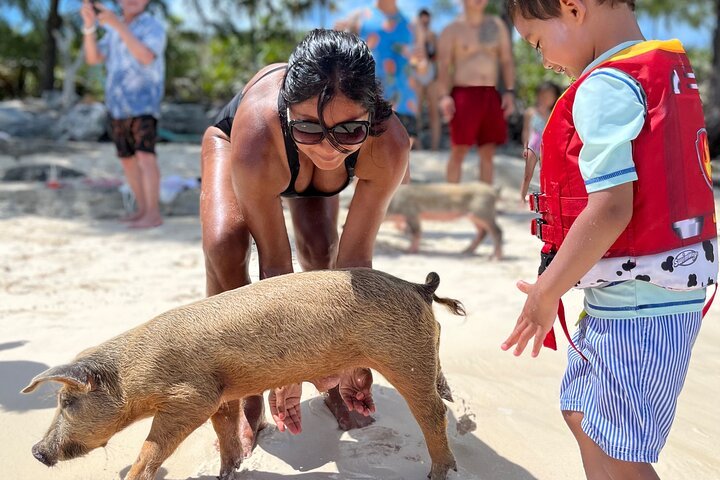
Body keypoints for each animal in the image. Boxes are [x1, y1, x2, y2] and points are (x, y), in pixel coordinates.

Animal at [23, 268, 466, 480]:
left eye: (67, 400)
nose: (36, 451)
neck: (135, 376)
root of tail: (419, 287)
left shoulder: (193, 396)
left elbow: (151, 449)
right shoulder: (223, 394)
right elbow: (225, 435)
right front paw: (226, 473)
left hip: (403, 355)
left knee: (431, 414)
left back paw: (436, 473)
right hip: (425, 349)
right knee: (440, 394)